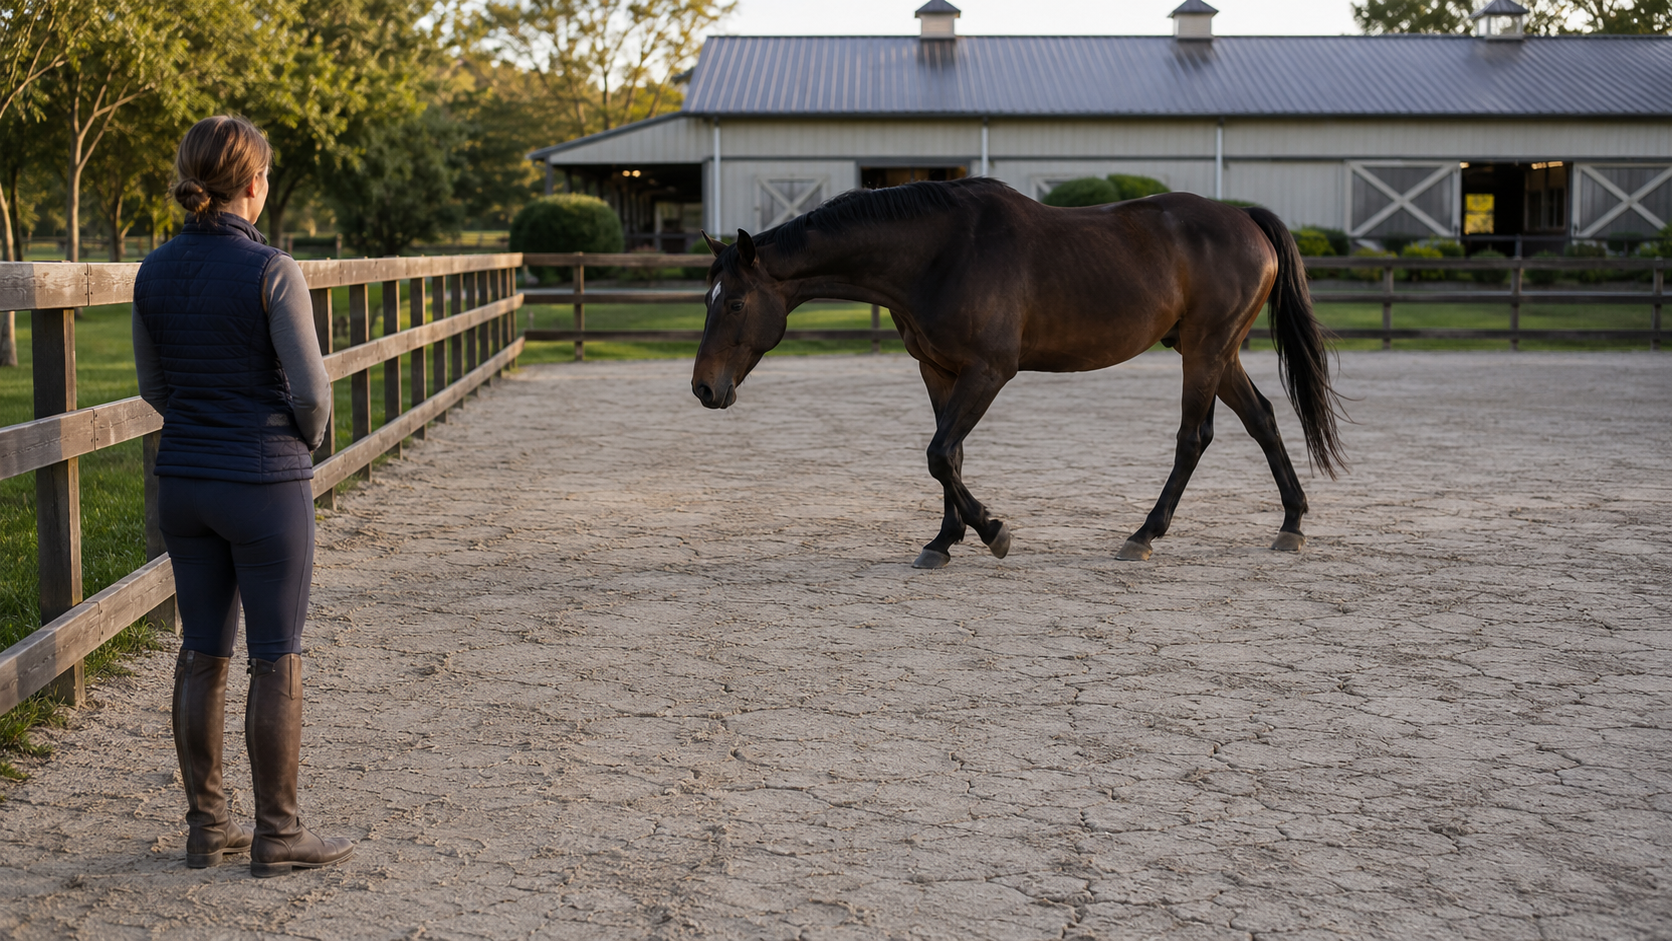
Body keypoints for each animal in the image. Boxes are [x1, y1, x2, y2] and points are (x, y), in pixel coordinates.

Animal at [691, 177, 1345, 568]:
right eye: (708, 298)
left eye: (736, 303)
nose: (703, 387)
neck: (938, 253)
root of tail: (1244, 219)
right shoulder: (938, 370)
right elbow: (949, 456)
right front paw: (943, 542)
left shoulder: (989, 371)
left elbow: (938, 453)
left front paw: (993, 531)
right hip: (1216, 351)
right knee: (1263, 420)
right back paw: (1291, 523)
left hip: (1205, 351)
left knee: (1194, 438)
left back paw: (1143, 535)